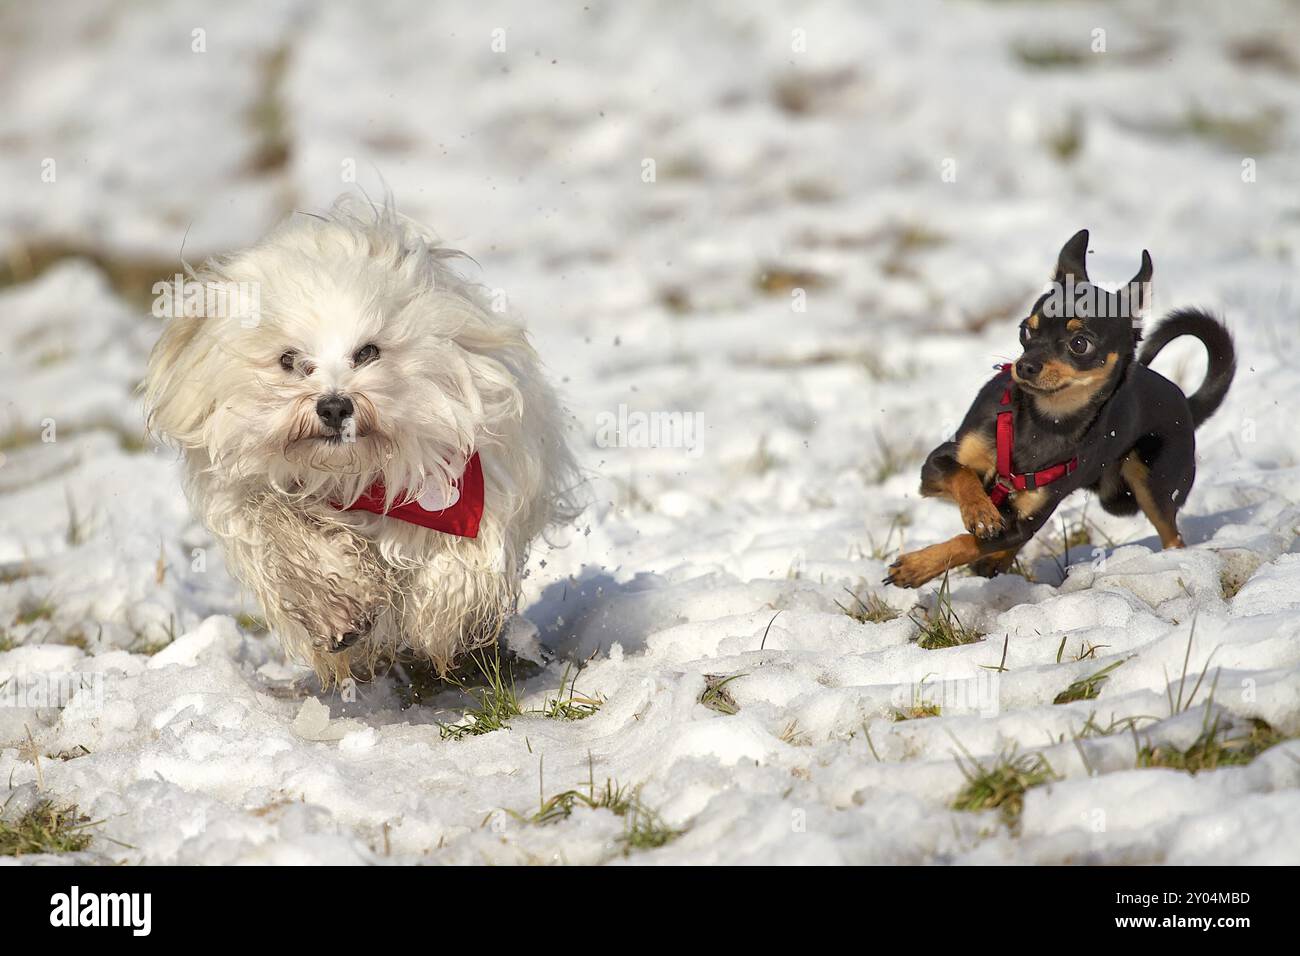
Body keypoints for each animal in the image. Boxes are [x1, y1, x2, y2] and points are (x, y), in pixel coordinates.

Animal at [144, 197, 582, 686]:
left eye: (368, 351)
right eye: (289, 360)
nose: (334, 407)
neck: (355, 473)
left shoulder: (472, 482)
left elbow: (458, 562)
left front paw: (439, 612)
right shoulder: (250, 498)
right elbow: (284, 527)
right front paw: (336, 610)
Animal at [889, 231, 1232, 590]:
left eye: (1080, 344)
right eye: (1026, 330)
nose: (1025, 366)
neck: (1045, 421)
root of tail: (1188, 404)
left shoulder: (1024, 520)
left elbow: (969, 542)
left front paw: (916, 566)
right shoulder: (936, 465)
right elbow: (964, 477)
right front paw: (979, 513)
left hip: (1148, 487)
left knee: (1171, 532)